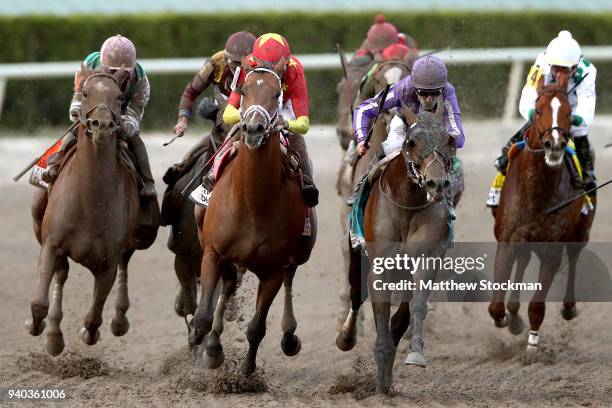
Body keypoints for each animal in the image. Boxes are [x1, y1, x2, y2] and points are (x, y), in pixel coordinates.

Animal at [27, 71, 159, 356]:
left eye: (119, 97)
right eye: (86, 93)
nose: (102, 125)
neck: (91, 201)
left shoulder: (108, 260)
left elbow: (94, 315)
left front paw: (90, 332)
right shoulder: (51, 244)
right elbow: (39, 302)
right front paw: (38, 327)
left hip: (139, 237)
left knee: (125, 264)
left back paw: (119, 320)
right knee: (61, 274)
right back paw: (54, 334)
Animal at [189, 59, 318, 374]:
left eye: (277, 93)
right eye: (244, 90)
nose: (253, 128)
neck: (252, 202)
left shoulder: (272, 270)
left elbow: (257, 327)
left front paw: (247, 372)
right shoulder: (213, 252)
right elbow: (202, 317)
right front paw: (203, 349)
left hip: (300, 252)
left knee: (289, 277)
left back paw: (289, 336)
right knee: (228, 284)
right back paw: (212, 344)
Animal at [334, 107, 454, 392]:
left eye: (449, 141)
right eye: (412, 142)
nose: (436, 184)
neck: (407, 203)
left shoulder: (426, 259)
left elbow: (414, 307)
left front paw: (414, 354)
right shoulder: (379, 264)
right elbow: (379, 306)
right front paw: (381, 363)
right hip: (355, 255)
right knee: (356, 295)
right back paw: (347, 336)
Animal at [490, 83, 596, 350]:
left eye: (570, 112)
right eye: (538, 111)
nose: (554, 145)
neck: (537, 190)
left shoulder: (552, 249)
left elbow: (537, 305)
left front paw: (533, 344)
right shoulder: (507, 240)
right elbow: (495, 306)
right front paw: (505, 318)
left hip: (580, 231)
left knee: (574, 256)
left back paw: (568, 308)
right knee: (523, 260)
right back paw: (514, 314)